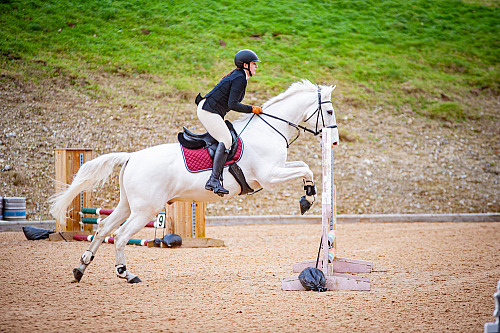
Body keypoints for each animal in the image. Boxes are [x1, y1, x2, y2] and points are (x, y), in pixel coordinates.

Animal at [49, 79, 340, 282]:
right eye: (329, 112)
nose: (334, 142)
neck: (270, 130)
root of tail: (131, 157)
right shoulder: (269, 176)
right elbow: (306, 168)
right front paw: (308, 197)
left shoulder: (275, 171)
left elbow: (303, 167)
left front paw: (308, 196)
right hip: (146, 209)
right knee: (119, 235)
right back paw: (126, 274)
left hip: (128, 205)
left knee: (102, 228)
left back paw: (80, 268)